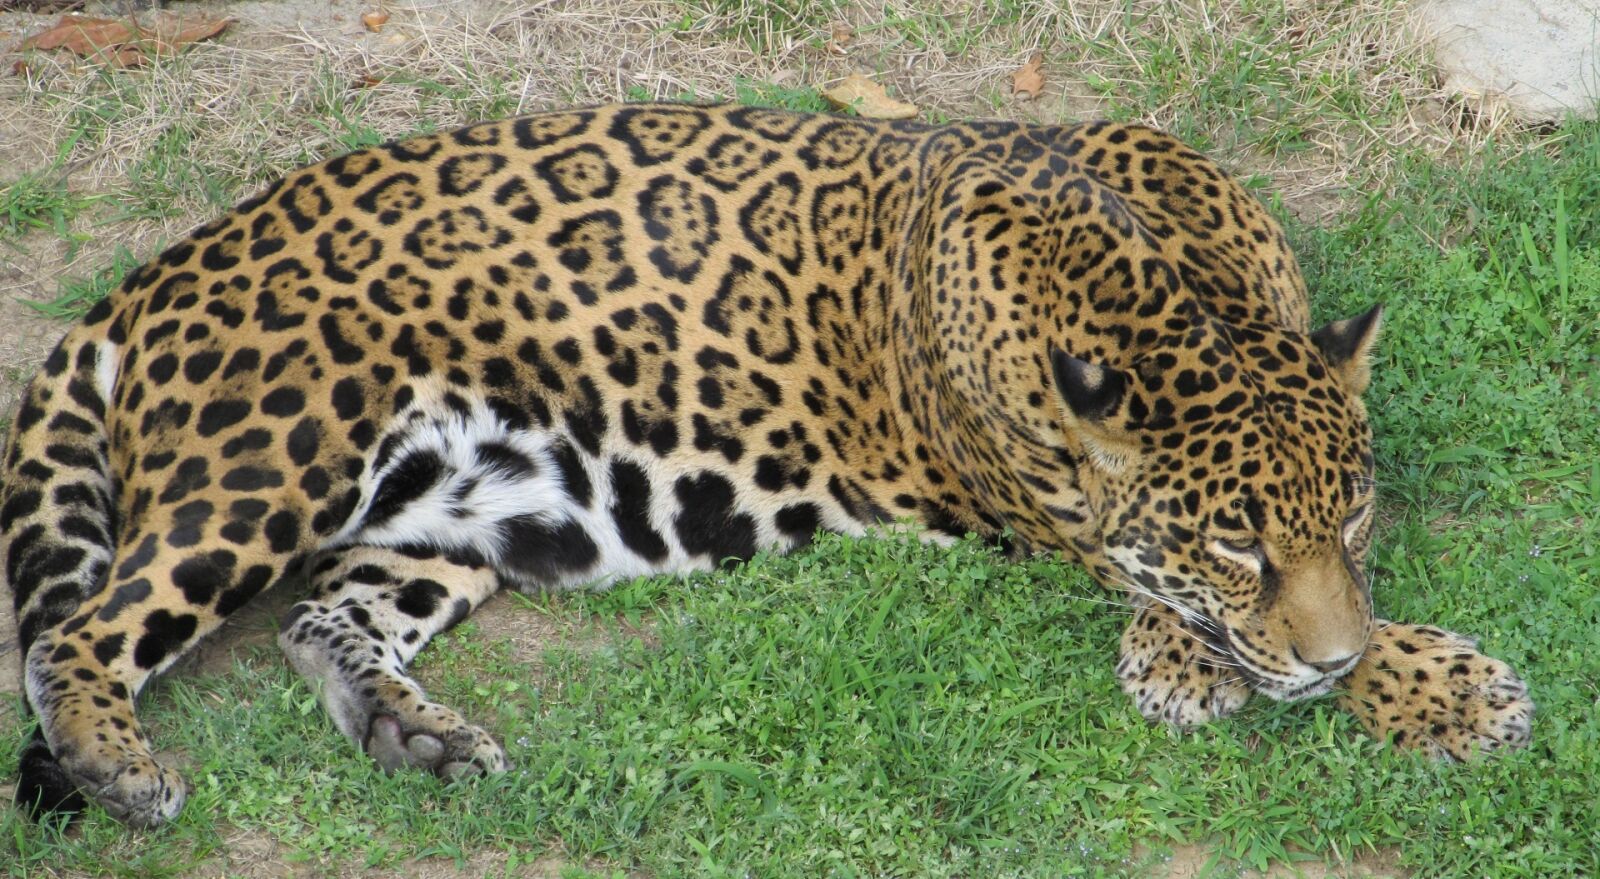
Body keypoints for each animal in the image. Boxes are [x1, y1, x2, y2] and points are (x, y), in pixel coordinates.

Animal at [1, 103, 1532, 827]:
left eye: (1355, 510)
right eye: (1236, 545)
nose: (1330, 662)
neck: (1158, 283)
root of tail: (149, 278)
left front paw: (1380, 668)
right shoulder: (1046, 512)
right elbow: (1174, 594)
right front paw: (1410, 683)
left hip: (458, 522)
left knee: (323, 616)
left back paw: (412, 731)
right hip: (278, 454)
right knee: (79, 630)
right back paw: (118, 764)